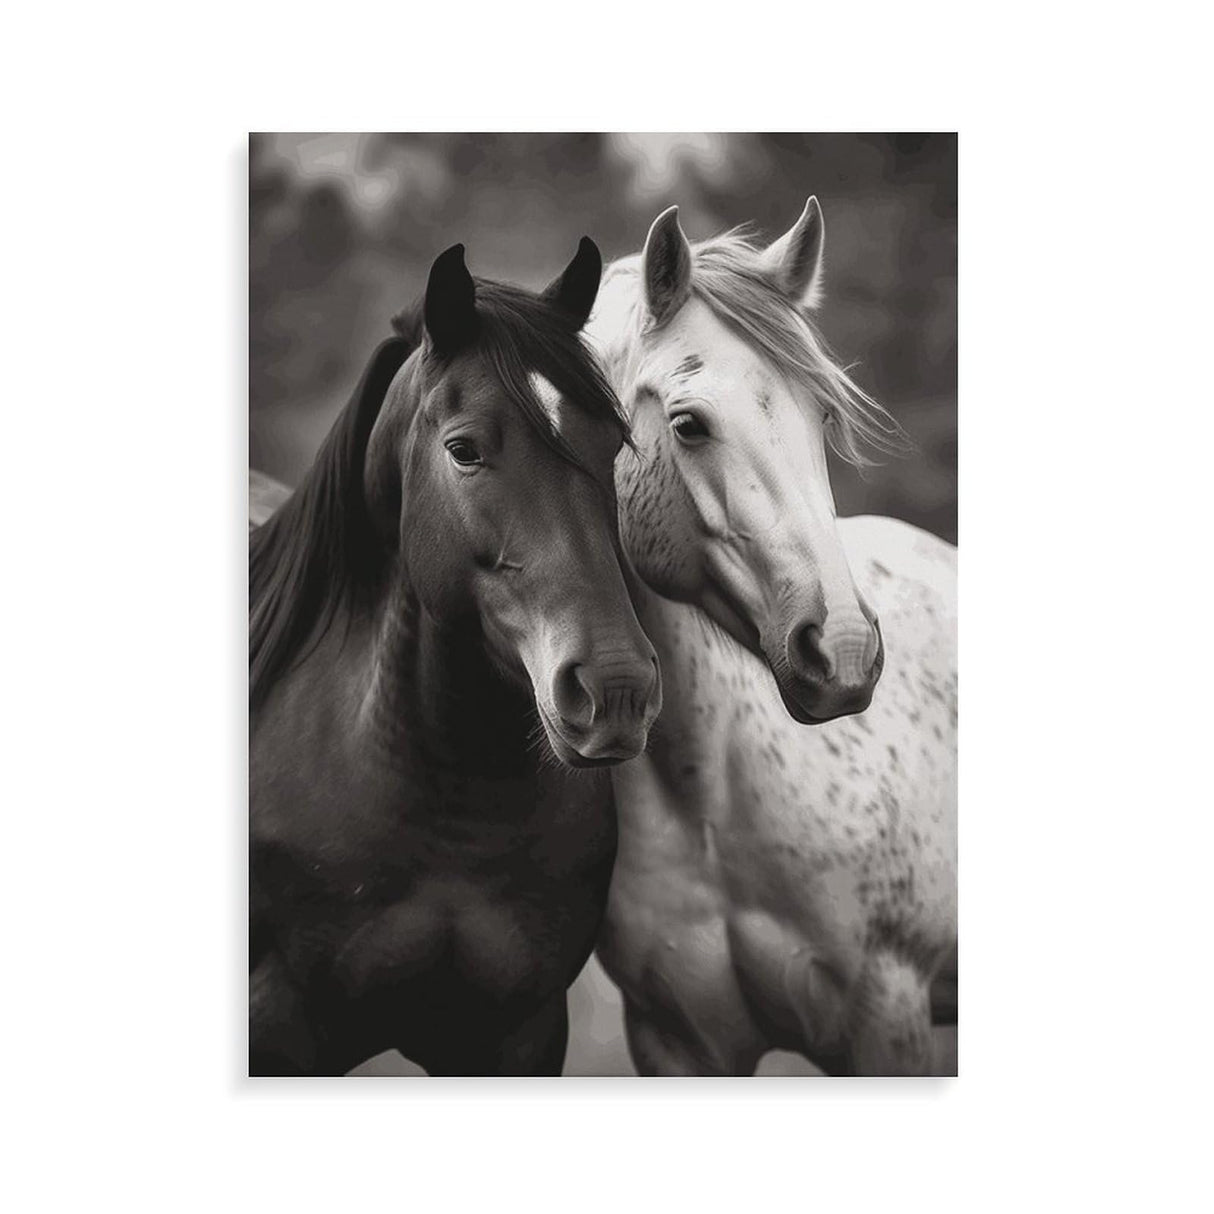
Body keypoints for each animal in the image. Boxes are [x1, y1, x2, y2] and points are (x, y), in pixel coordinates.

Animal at [583, 201, 957, 1075]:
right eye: (688, 425)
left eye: (819, 415)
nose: (844, 652)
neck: (709, 793)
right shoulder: (676, 1039)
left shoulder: (889, 1016)